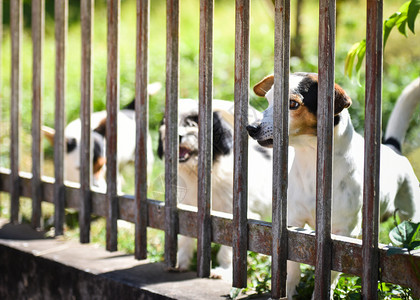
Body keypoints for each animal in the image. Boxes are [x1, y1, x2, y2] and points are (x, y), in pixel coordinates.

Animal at [246, 73, 420, 300]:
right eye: (268, 100)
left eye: (293, 104)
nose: (251, 128)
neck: (310, 162)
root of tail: (392, 148)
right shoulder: (292, 222)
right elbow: (292, 266)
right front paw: (287, 291)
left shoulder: (343, 233)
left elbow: (332, 273)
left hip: (410, 215)